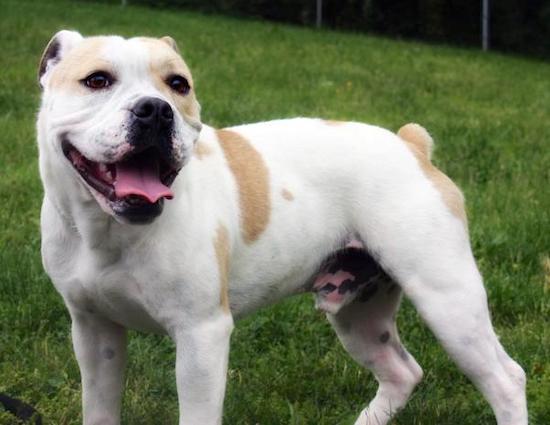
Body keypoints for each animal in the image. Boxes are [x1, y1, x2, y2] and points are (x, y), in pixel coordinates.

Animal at [36, 30, 528, 424]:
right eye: (97, 80)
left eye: (178, 84)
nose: (156, 110)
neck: (108, 229)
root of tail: (410, 146)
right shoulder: (94, 333)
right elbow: (99, 409)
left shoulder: (201, 337)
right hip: (360, 314)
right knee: (402, 372)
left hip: (448, 301)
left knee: (506, 379)